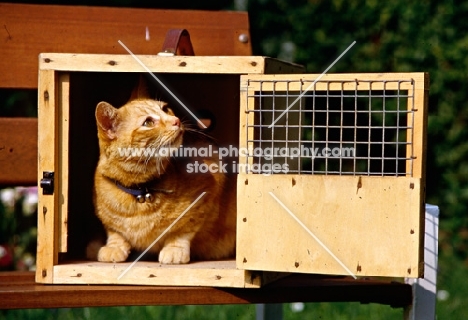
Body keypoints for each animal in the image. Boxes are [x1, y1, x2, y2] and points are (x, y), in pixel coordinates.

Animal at [92, 79, 236, 264]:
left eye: (165, 109)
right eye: (148, 122)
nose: (176, 120)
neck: (141, 191)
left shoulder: (209, 185)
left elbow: (182, 229)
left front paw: (175, 249)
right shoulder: (106, 219)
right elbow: (115, 232)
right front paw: (114, 246)